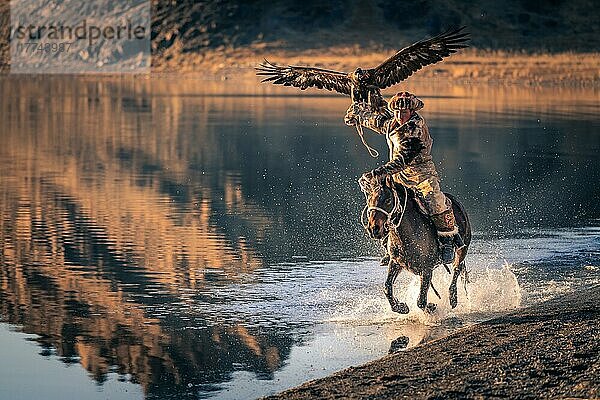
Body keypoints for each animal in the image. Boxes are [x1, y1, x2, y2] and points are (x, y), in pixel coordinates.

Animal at [360, 177, 474, 314]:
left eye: (388, 200)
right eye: (369, 200)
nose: (373, 229)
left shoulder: (427, 269)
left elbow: (421, 300)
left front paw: (431, 307)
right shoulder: (396, 262)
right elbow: (387, 287)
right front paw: (401, 307)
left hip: (462, 249)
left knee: (457, 270)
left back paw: (453, 298)